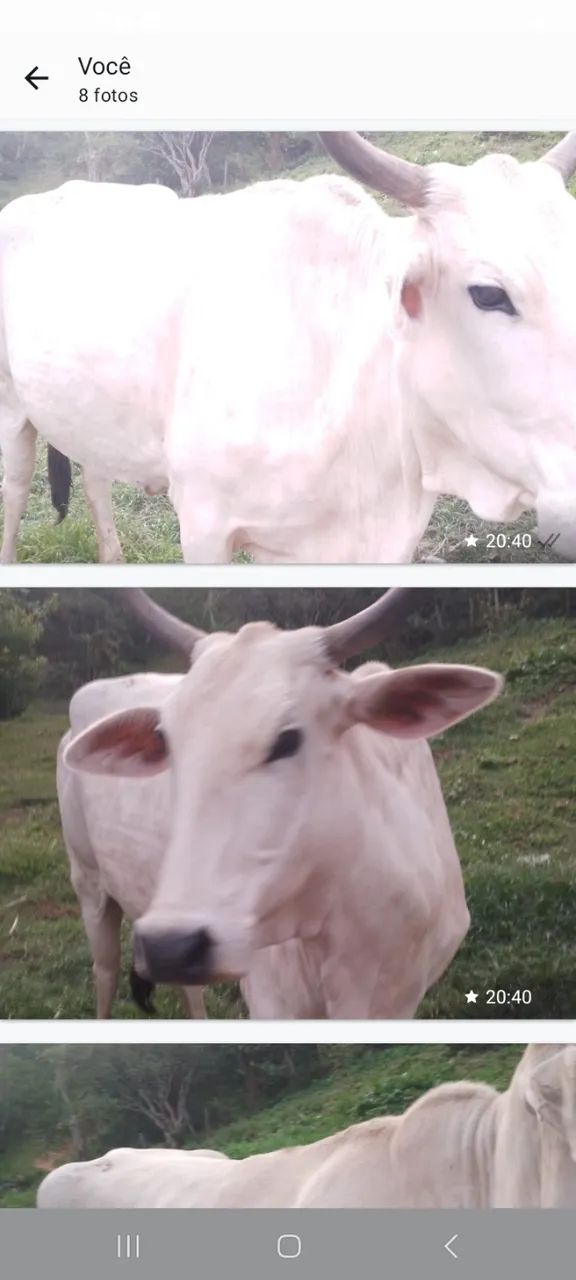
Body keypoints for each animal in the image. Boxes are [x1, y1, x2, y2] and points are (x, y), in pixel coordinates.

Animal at [57, 588, 502, 1019]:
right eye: (167, 742)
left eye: (288, 739)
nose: (173, 946)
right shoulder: (272, 1000)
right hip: (89, 882)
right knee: (105, 972)